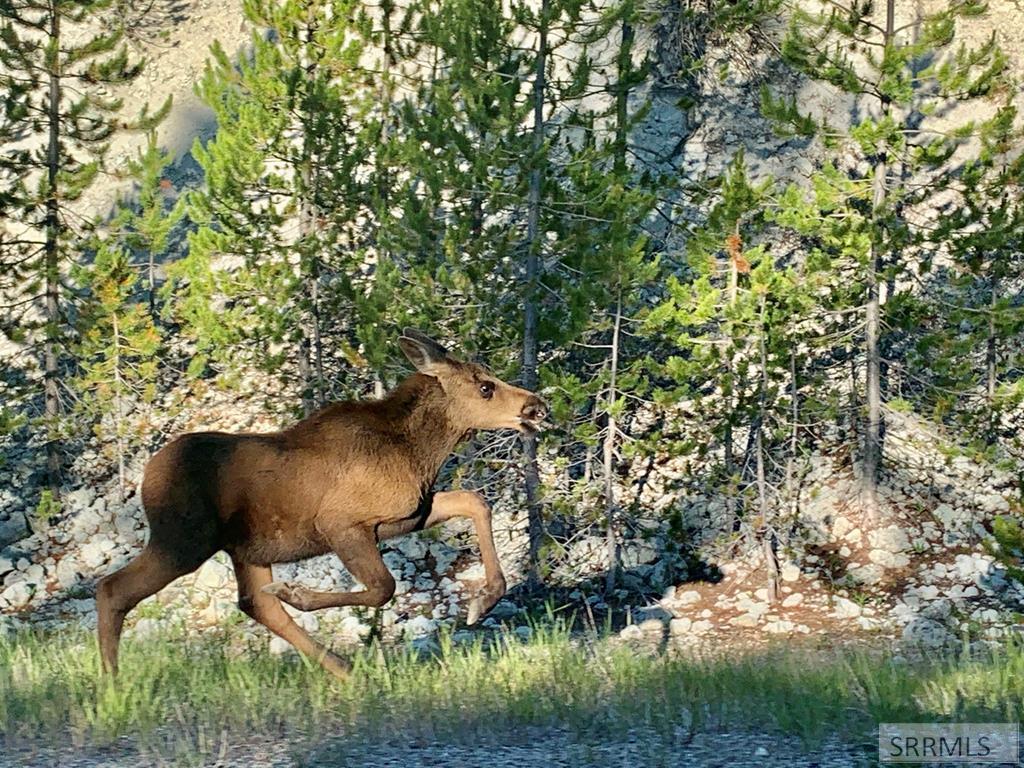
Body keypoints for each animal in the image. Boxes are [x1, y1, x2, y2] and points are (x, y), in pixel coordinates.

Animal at [95, 330, 547, 678]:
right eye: (485, 387)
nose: (537, 407)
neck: (421, 452)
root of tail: (147, 475)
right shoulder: (341, 523)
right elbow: (383, 587)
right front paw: (298, 593)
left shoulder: (411, 513)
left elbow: (474, 501)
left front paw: (483, 600)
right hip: (183, 539)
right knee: (113, 588)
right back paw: (112, 683)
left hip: (246, 548)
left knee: (256, 604)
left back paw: (341, 668)